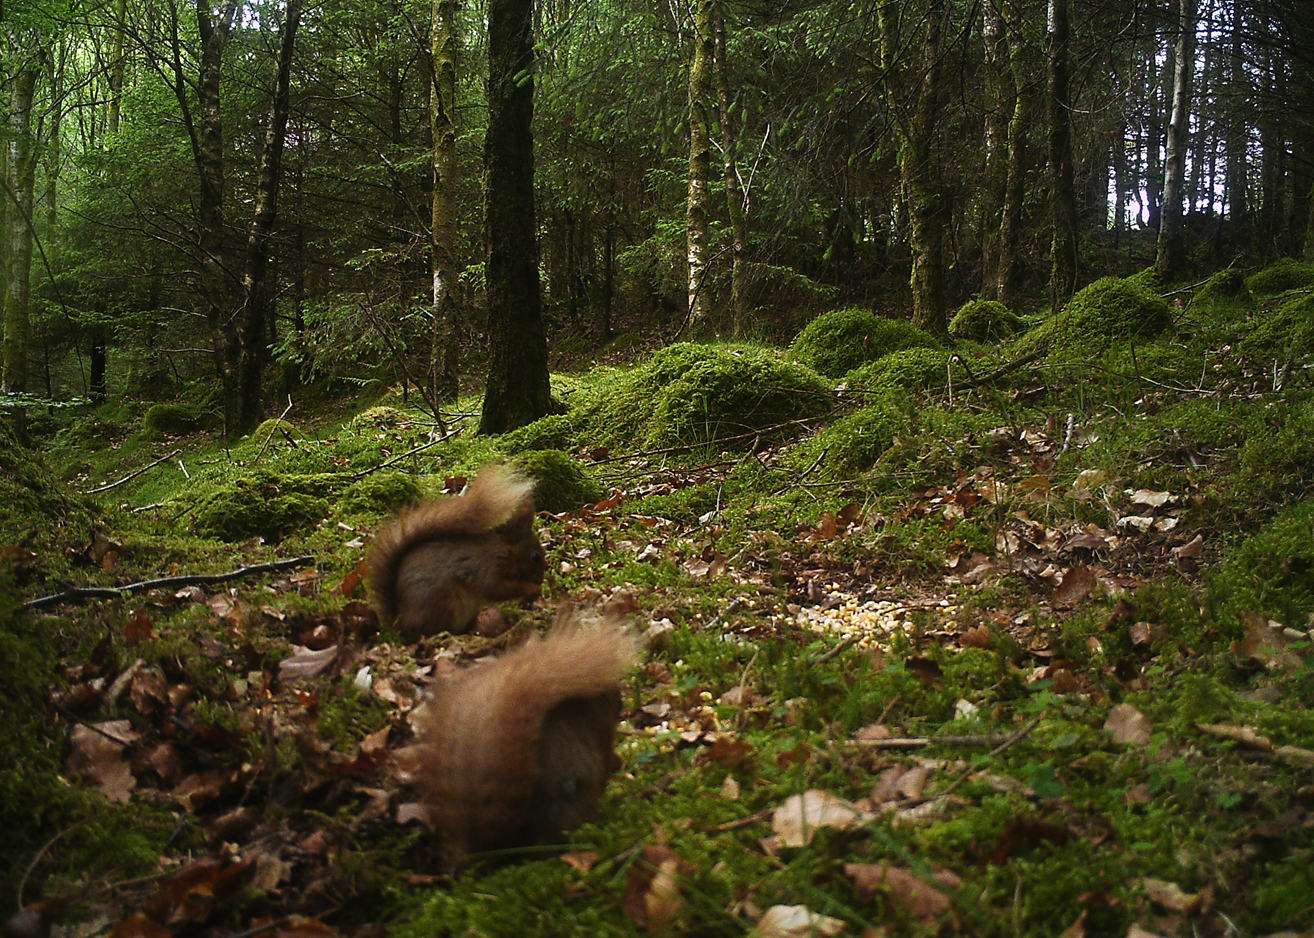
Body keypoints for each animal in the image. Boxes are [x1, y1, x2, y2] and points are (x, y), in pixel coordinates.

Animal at [367, 465, 546, 641]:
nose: (540, 580)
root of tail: (398, 625)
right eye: (535, 557)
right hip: (443, 604)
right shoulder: (485, 566)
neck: (503, 549)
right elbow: (497, 588)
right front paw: (531, 589)